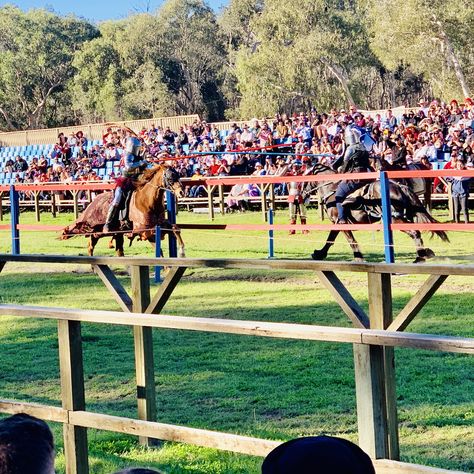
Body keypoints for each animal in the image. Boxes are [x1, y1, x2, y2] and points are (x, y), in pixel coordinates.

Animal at [304, 165, 448, 262]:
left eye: (304, 179)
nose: (302, 195)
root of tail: (399, 186)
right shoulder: (338, 223)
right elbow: (330, 239)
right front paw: (319, 253)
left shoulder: (341, 222)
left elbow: (349, 240)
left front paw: (359, 258)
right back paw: (425, 252)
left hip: (395, 220)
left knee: (414, 233)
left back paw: (421, 256)